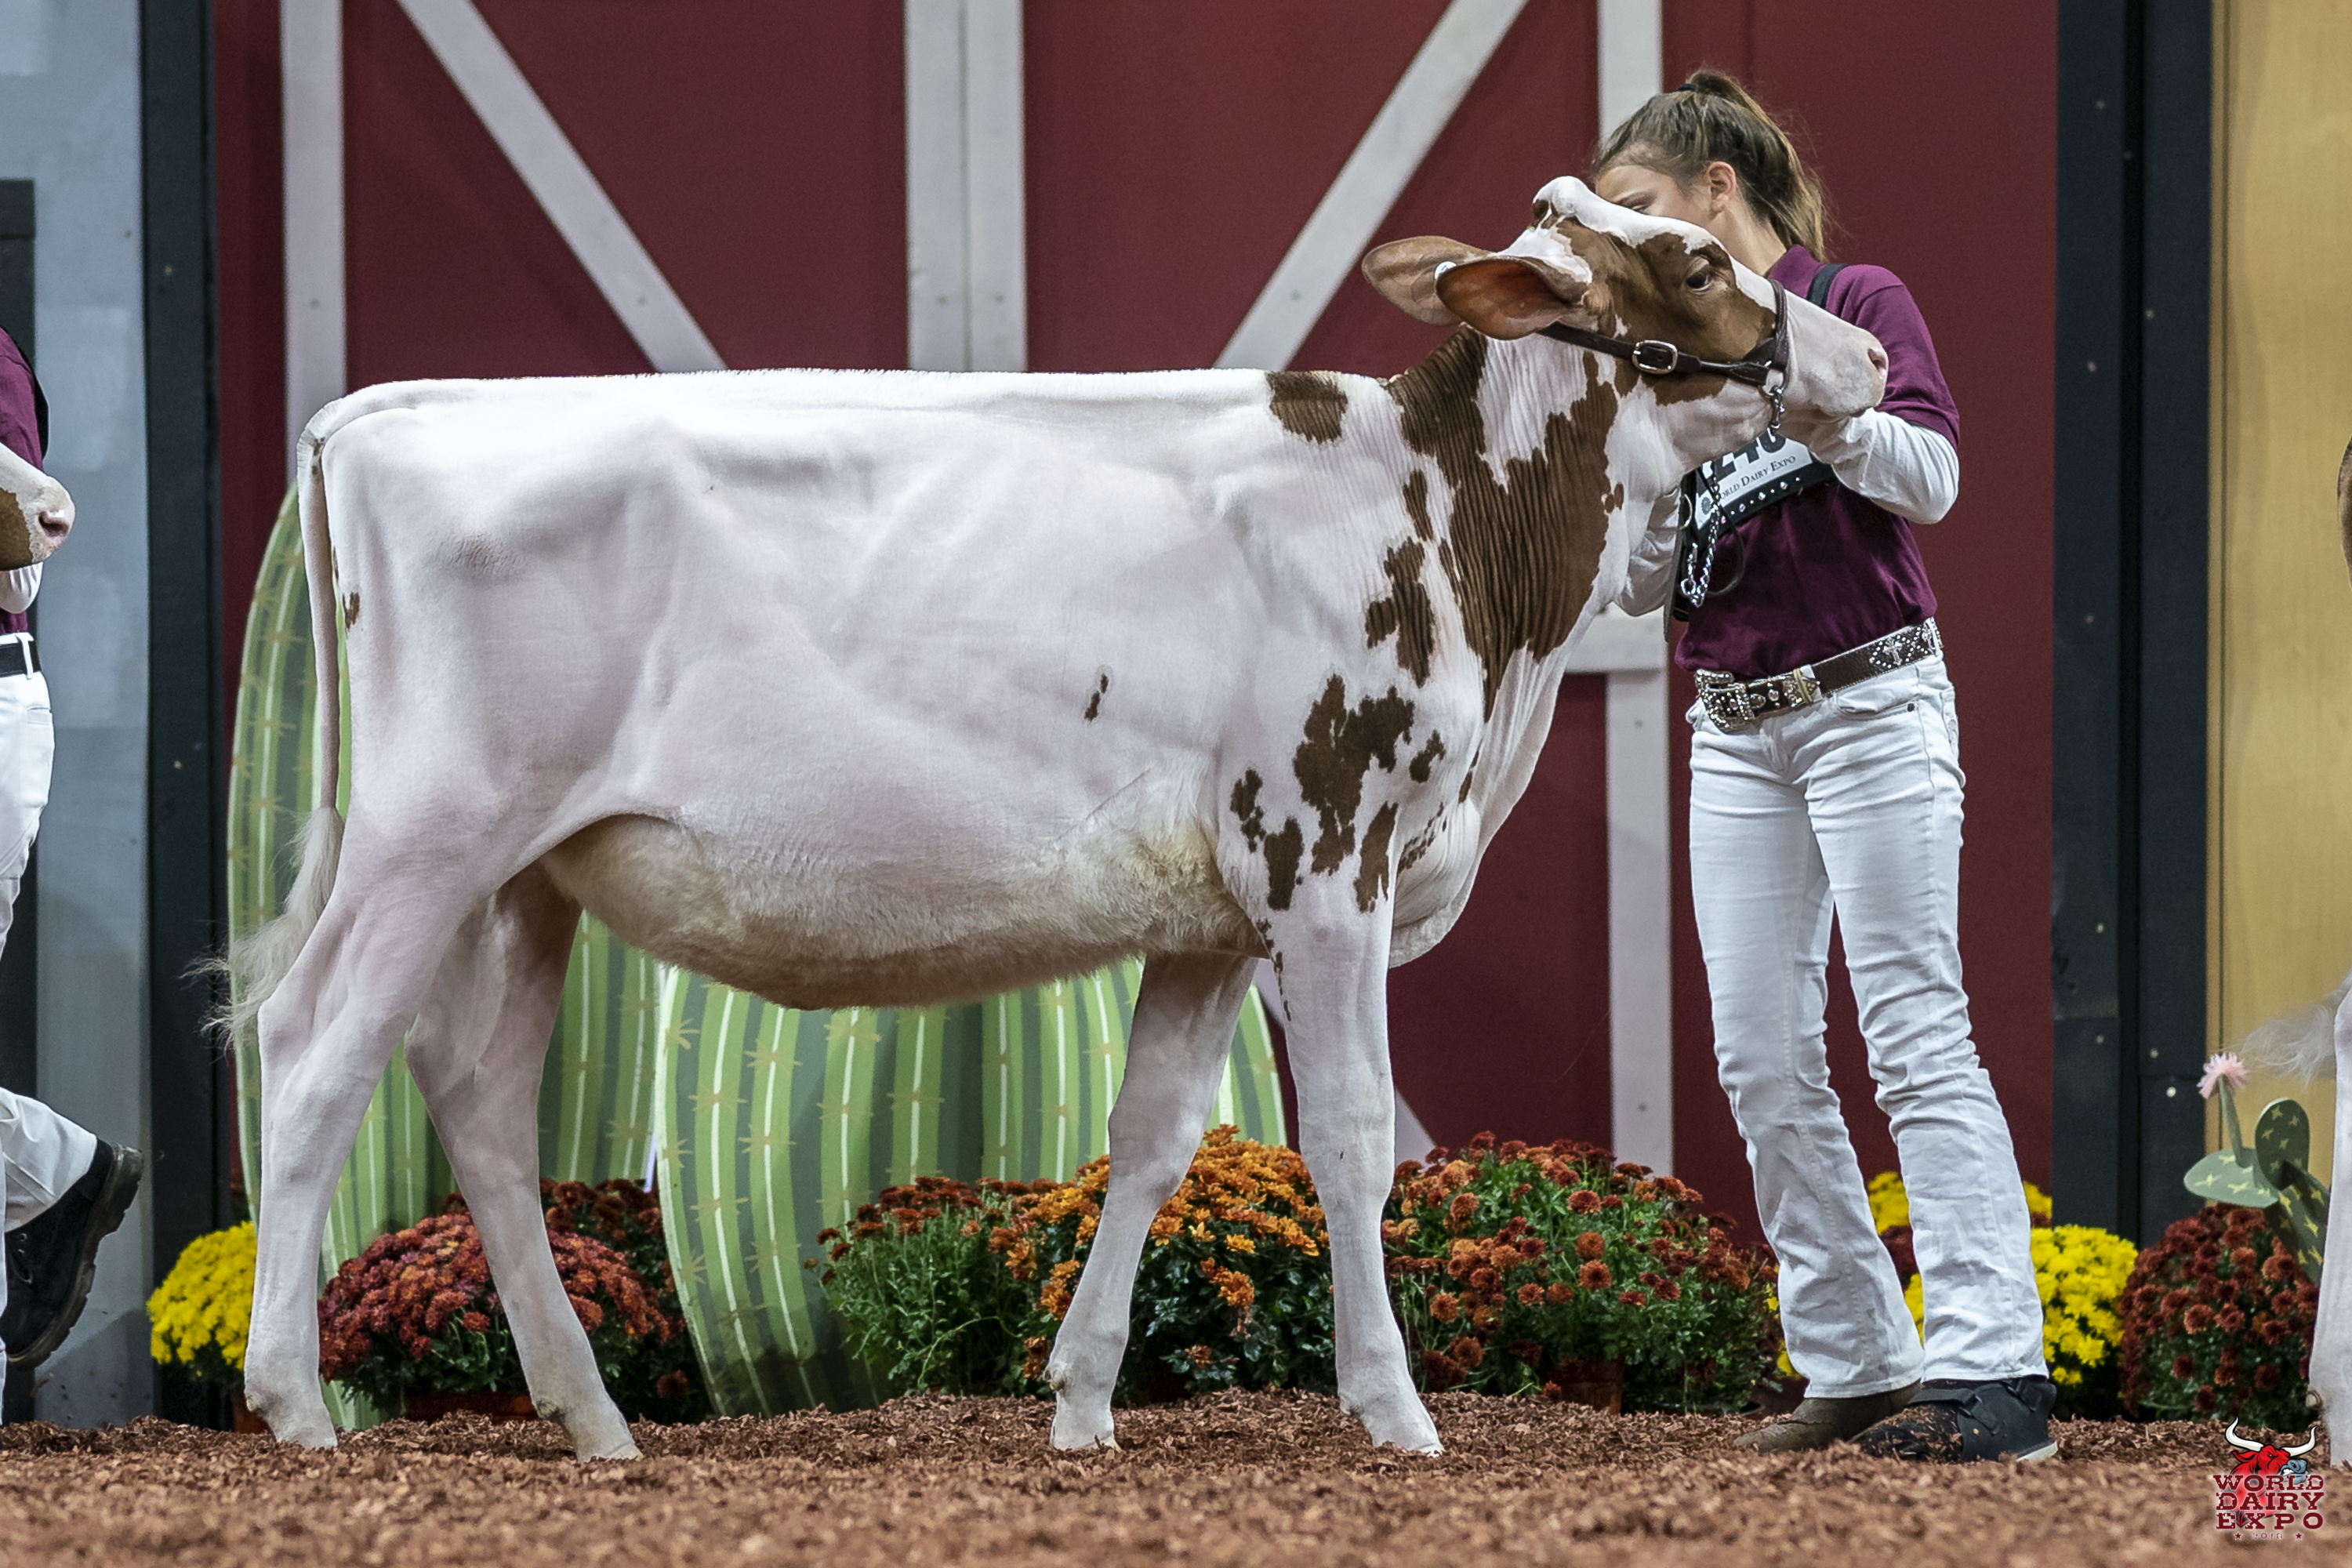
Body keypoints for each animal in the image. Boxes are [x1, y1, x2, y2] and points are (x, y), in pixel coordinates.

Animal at [232, 176, 1887, 1461]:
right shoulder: (1325, 854)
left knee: (479, 1103)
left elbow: (1153, 1139)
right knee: (314, 1055)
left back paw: (591, 1421)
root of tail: (390, 411)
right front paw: (1396, 1411)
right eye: (1697, 263)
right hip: (426, 837)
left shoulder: (1219, 906)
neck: (1447, 524)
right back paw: (296, 1407)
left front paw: (1083, 1405)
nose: (1867, 348)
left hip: (530, 875)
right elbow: (1352, 1135)